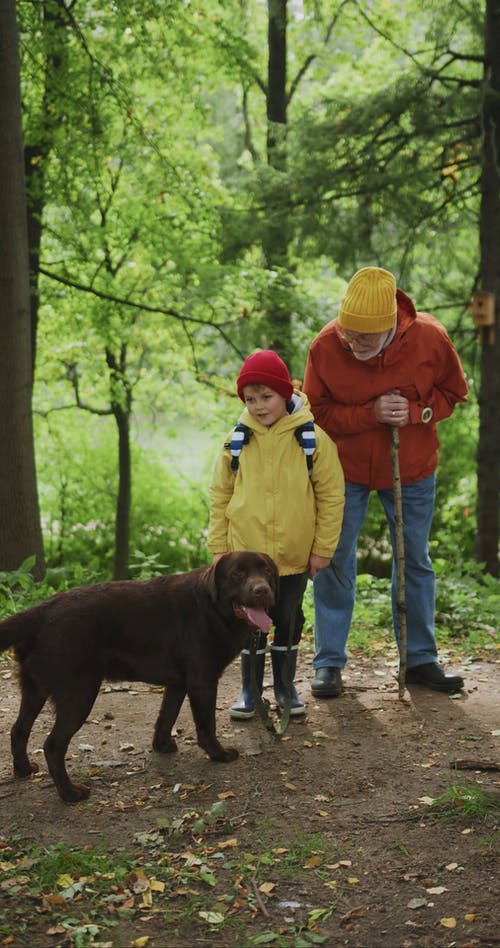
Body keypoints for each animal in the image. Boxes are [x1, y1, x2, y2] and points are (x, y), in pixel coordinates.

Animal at [0, 552, 278, 804]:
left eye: (266, 571)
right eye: (237, 574)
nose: (261, 590)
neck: (212, 609)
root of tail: (40, 611)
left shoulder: (178, 683)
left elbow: (166, 717)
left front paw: (163, 745)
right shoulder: (203, 682)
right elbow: (206, 725)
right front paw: (218, 754)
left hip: (35, 689)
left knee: (18, 730)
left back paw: (24, 770)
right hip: (78, 694)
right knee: (53, 745)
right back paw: (70, 794)